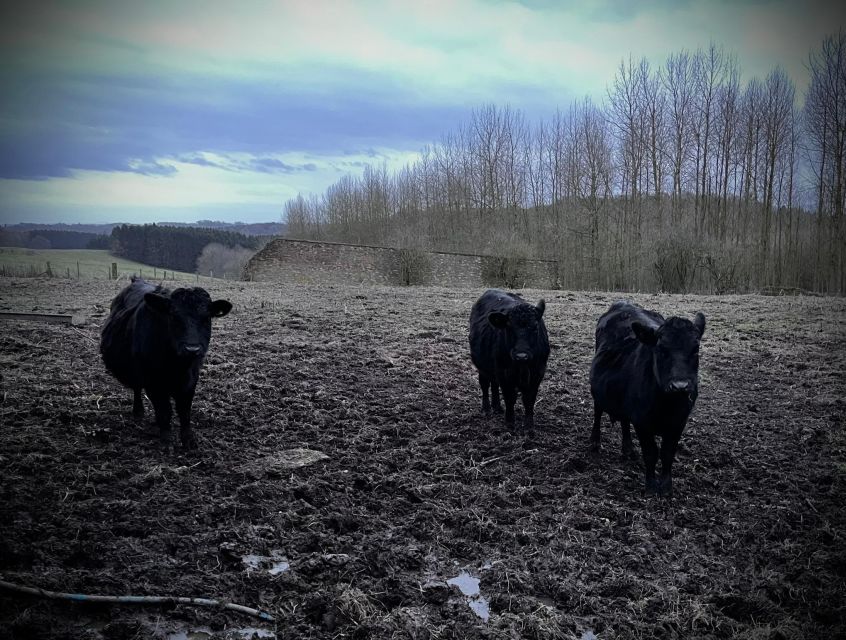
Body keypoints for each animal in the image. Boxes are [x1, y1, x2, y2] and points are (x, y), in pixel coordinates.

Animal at [100, 277, 232, 450]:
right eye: (174, 316)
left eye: (206, 317)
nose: (192, 349)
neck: (176, 366)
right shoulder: (153, 382)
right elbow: (164, 411)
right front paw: (167, 440)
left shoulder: (190, 380)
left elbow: (184, 410)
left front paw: (188, 440)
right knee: (137, 388)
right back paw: (138, 411)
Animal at [469, 289, 549, 431]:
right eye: (508, 327)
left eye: (535, 327)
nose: (521, 355)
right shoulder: (504, 373)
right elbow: (510, 397)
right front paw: (510, 423)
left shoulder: (537, 373)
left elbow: (529, 399)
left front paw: (529, 425)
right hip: (482, 367)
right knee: (485, 384)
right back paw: (486, 408)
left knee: (494, 384)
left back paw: (497, 407)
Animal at [589, 300, 705, 496]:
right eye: (661, 348)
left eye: (695, 349)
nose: (680, 386)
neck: (667, 405)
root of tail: (623, 303)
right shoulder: (641, 422)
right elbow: (651, 453)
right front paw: (651, 486)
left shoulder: (679, 422)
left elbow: (667, 453)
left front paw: (666, 487)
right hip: (598, 390)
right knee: (598, 411)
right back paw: (595, 442)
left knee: (624, 421)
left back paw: (628, 449)